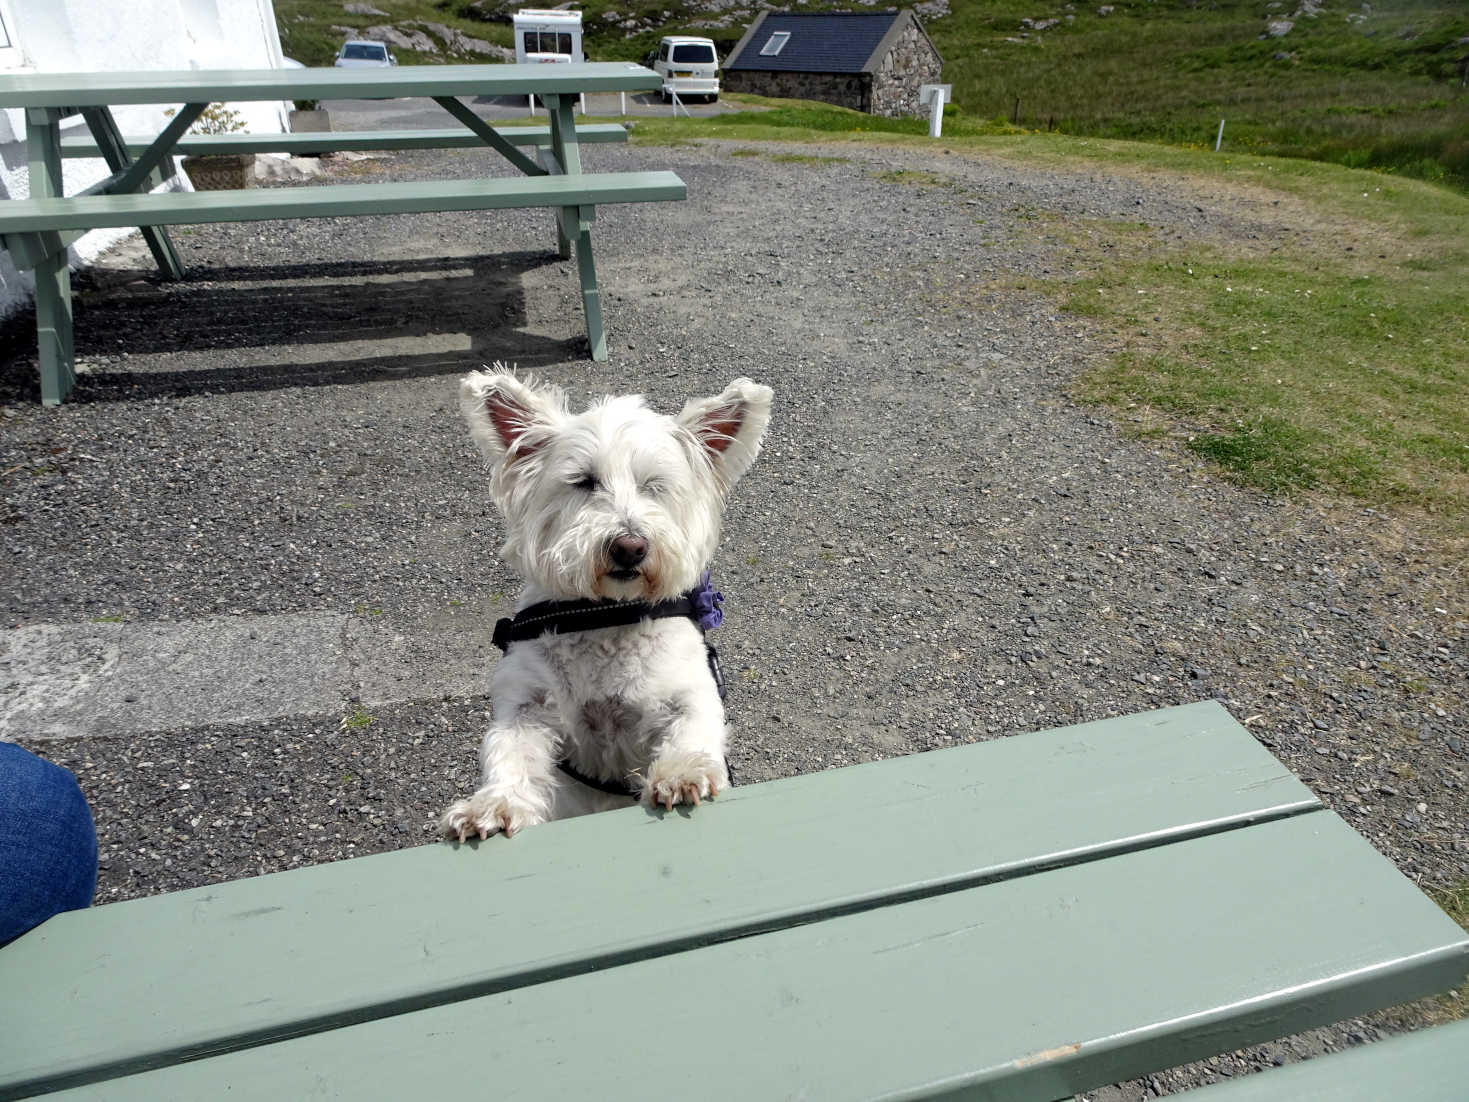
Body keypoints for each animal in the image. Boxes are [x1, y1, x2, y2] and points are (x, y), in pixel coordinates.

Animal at [440, 367, 775, 840]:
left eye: (654, 486)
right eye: (583, 481)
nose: (630, 547)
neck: (606, 616)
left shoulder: (690, 688)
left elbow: (692, 726)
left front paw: (682, 773)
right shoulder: (525, 702)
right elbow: (510, 752)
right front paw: (493, 805)